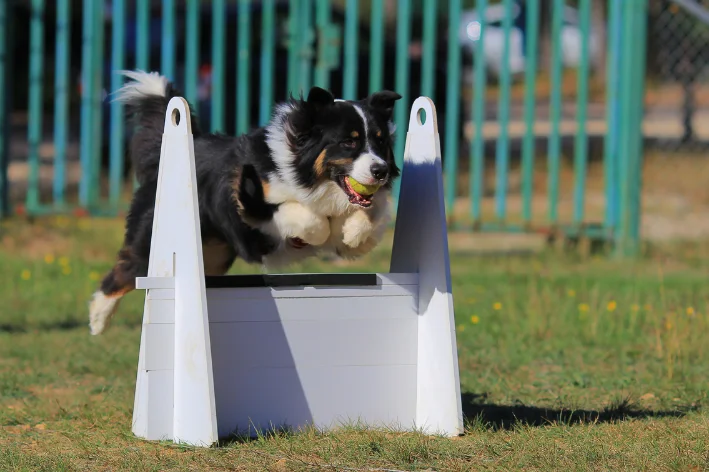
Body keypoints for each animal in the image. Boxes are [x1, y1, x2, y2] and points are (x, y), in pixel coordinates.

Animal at [87, 70, 404, 336]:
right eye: (349, 142)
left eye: (379, 142)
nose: (381, 171)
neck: (312, 176)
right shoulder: (251, 205)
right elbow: (307, 217)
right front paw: (318, 232)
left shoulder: (365, 204)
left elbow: (370, 215)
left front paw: (350, 235)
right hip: (153, 241)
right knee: (124, 272)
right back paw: (97, 320)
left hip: (213, 257)